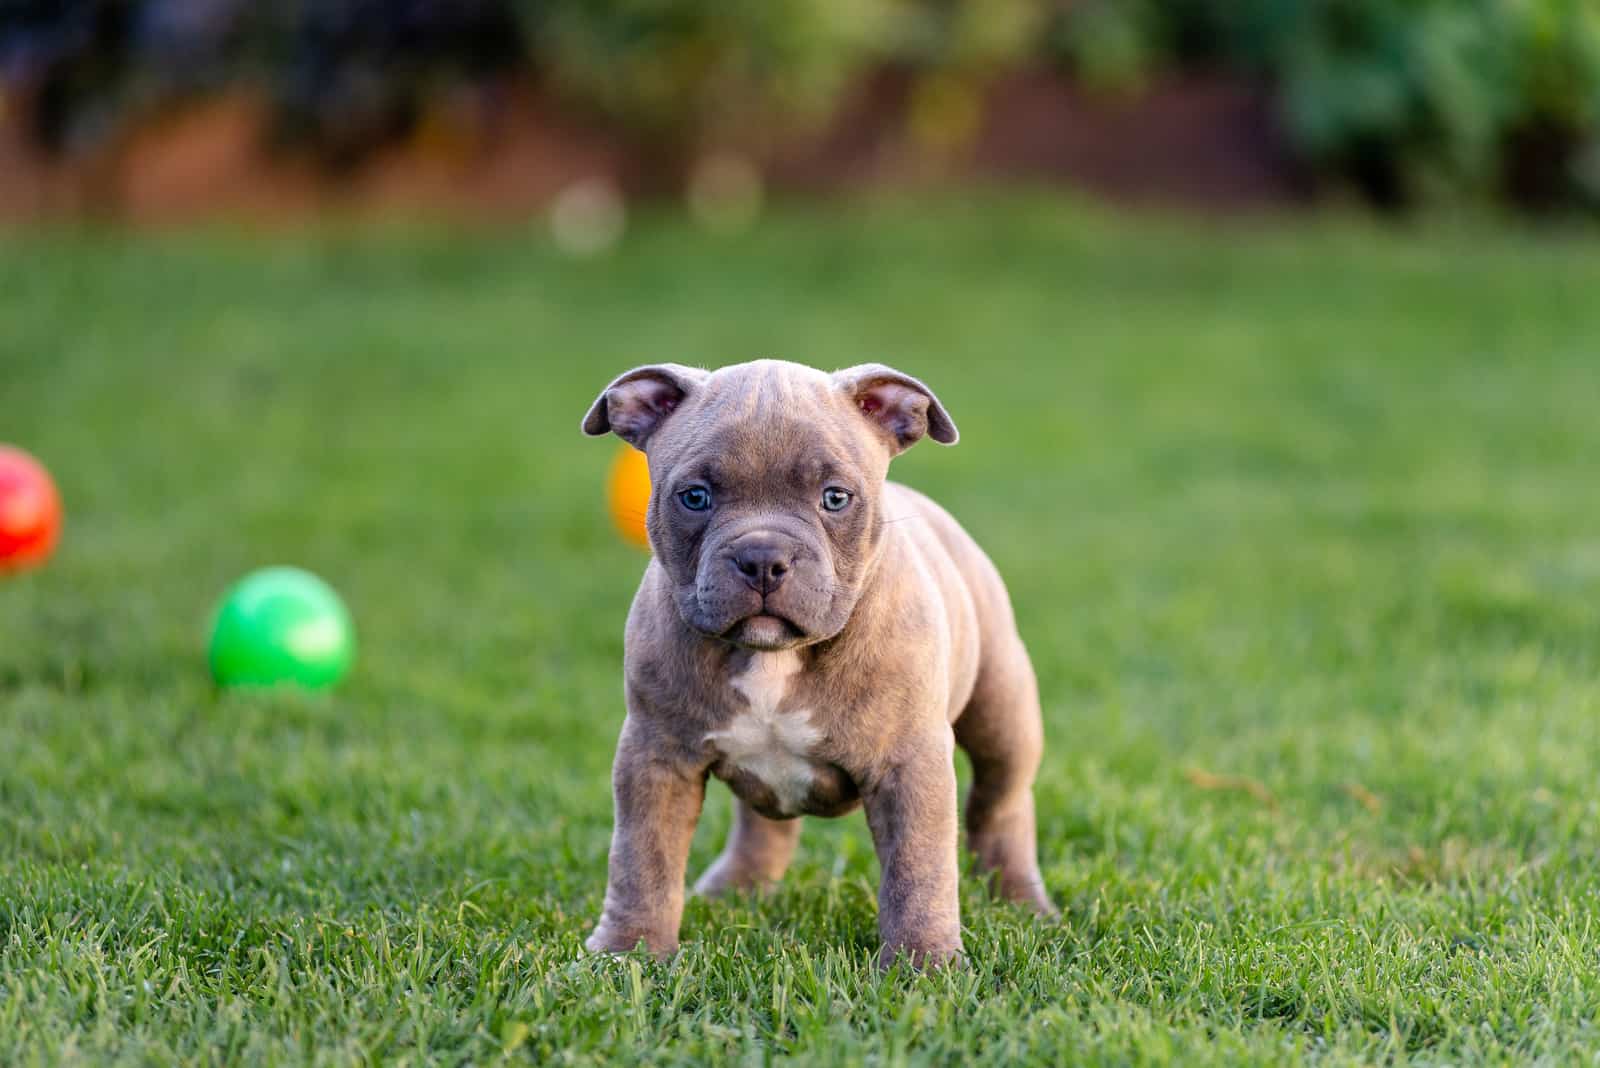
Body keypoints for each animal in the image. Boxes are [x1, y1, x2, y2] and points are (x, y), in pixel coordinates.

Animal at [582, 358, 1056, 965]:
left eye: (835, 498)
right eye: (694, 497)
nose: (762, 558)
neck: (775, 658)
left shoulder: (910, 765)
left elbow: (918, 870)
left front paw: (923, 964)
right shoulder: (655, 756)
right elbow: (642, 859)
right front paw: (628, 952)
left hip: (1003, 707)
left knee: (1001, 801)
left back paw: (1022, 901)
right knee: (763, 826)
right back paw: (734, 891)